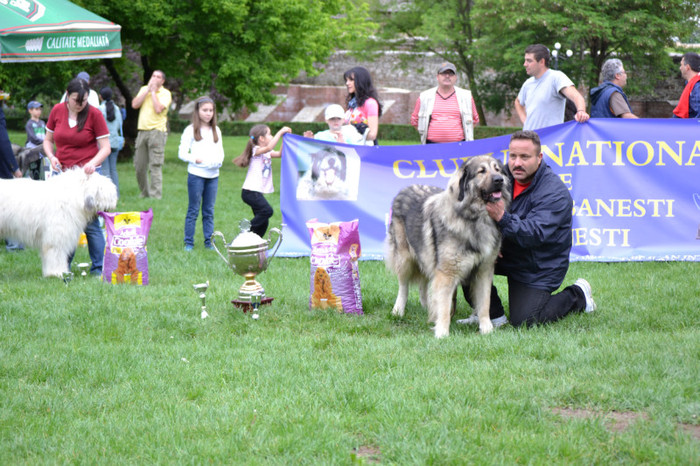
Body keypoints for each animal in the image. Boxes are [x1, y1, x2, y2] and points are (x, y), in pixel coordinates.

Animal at [386, 155, 512, 336]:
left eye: (498, 170)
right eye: (481, 171)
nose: (499, 180)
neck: (476, 218)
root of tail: (404, 190)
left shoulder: (484, 270)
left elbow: (484, 303)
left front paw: (486, 329)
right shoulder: (447, 273)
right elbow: (445, 305)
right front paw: (442, 333)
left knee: (424, 284)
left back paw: (427, 309)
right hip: (405, 258)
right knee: (403, 286)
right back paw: (398, 311)